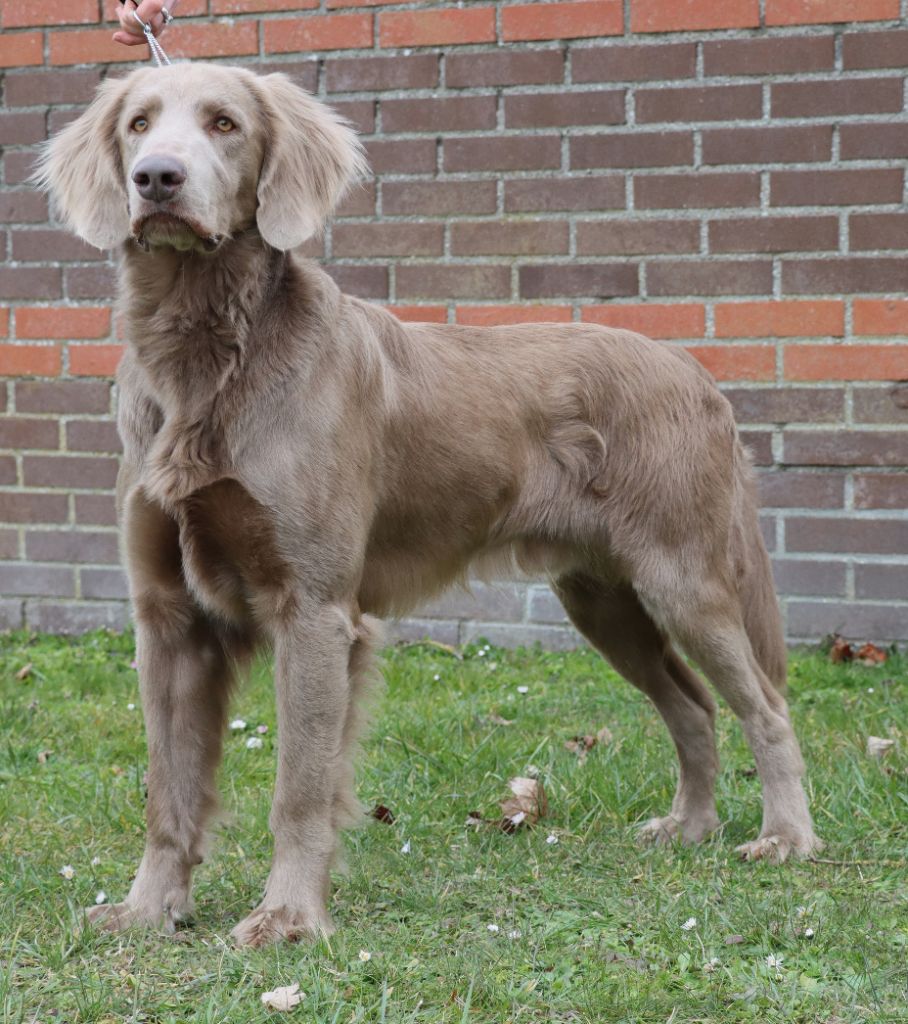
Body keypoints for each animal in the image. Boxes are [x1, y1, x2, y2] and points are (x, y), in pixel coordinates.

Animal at [39, 64, 823, 942]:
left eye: (224, 124)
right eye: (138, 125)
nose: (157, 180)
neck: (206, 353)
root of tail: (697, 373)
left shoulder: (315, 611)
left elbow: (300, 787)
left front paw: (288, 919)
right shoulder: (169, 617)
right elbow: (167, 789)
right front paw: (149, 910)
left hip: (683, 579)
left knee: (765, 706)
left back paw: (785, 838)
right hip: (603, 597)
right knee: (691, 705)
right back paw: (690, 827)